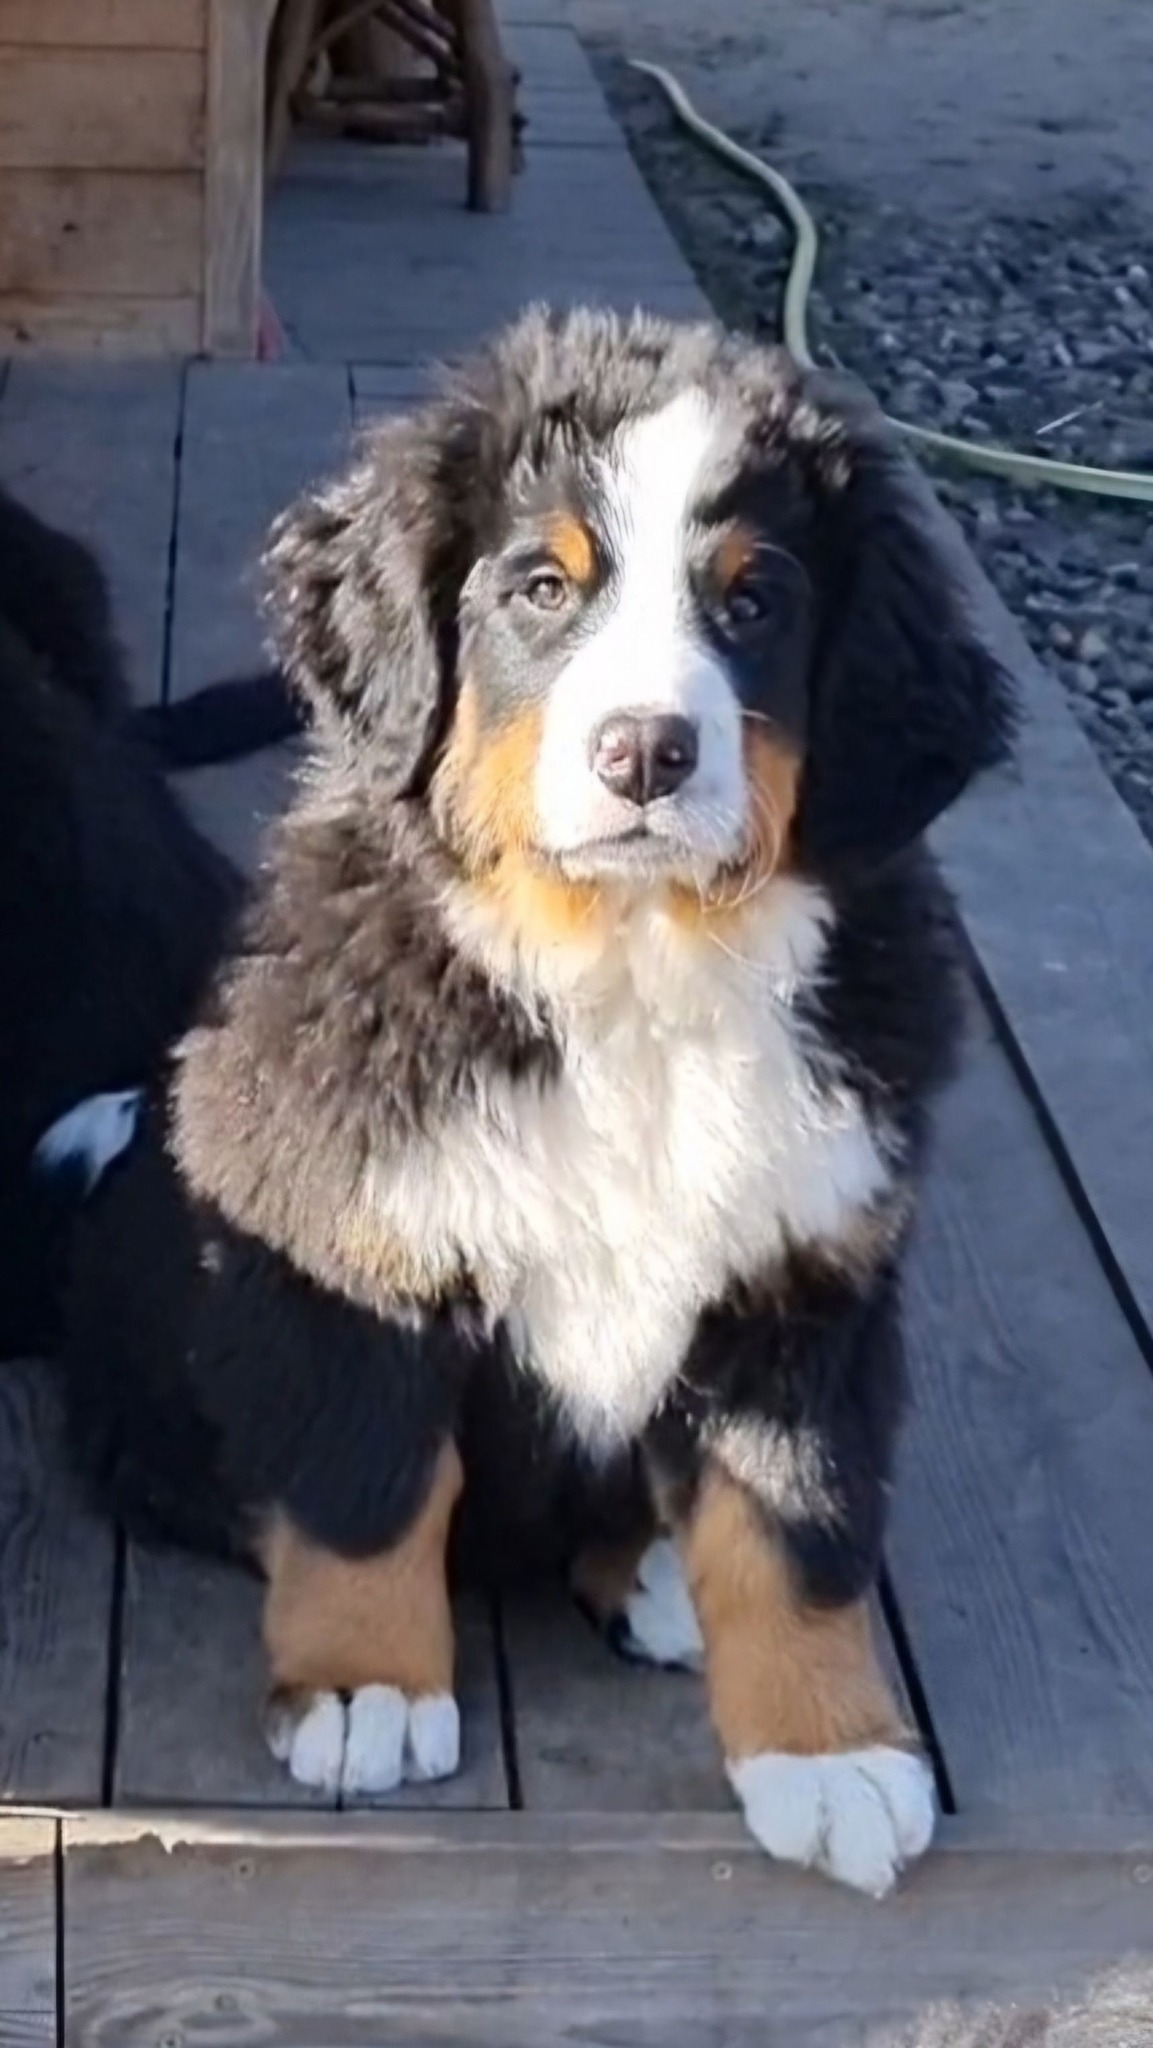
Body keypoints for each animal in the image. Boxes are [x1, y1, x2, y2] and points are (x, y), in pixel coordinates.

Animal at [54, 307, 1013, 1895]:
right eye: (543, 588)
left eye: (754, 604)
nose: (644, 751)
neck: (625, 962)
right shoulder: (350, 1239)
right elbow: (371, 1475)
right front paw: (364, 1683)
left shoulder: (801, 1268)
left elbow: (797, 1519)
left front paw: (829, 1753)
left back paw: (661, 1573)